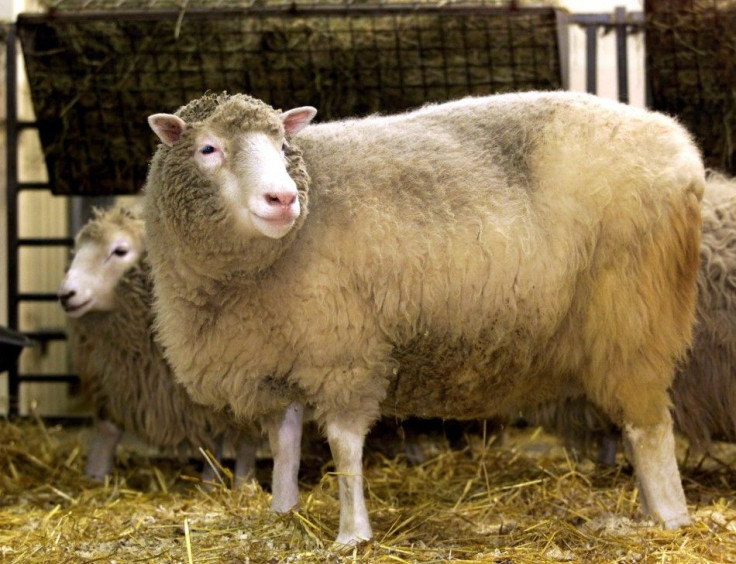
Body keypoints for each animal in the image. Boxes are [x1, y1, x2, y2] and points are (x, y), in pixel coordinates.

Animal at [57, 205, 258, 486]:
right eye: (77, 249)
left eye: (120, 251)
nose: (66, 294)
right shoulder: (115, 381)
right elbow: (107, 432)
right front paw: (95, 475)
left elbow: (241, 445)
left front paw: (237, 485)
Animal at [142, 89, 708, 540]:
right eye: (208, 148)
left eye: (283, 146)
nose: (282, 199)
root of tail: (682, 147)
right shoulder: (277, 357)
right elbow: (284, 445)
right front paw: (282, 511)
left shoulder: (346, 352)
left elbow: (345, 447)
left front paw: (352, 534)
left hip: (632, 314)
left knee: (649, 428)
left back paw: (669, 518)